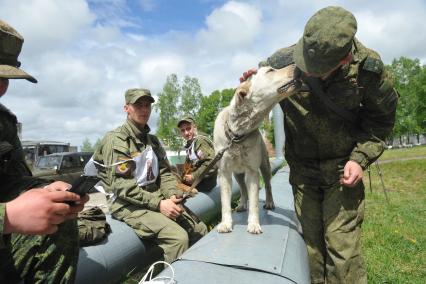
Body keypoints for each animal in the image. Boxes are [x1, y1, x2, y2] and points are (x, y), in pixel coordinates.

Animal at [213, 65, 300, 234]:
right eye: (271, 70)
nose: (295, 66)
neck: (237, 135)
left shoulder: (253, 171)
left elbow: (254, 202)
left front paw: (253, 224)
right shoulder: (224, 173)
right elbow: (225, 203)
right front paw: (225, 224)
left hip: (265, 166)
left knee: (267, 185)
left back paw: (269, 202)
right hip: (237, 174)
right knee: (242, 189)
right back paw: (241, 204)